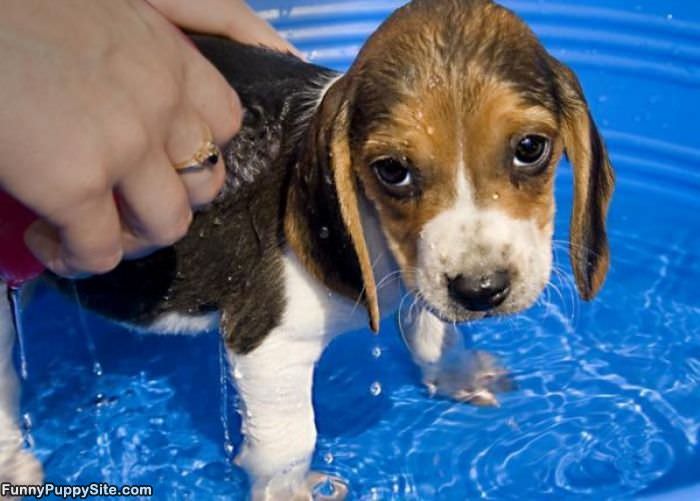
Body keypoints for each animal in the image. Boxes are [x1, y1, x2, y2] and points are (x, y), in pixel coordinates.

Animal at [0, 0, 612, 496]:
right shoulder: (270, 345)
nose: (482, 290)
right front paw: (291, 492)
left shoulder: (422, 270)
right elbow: (290, 442)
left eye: (530, 148)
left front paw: (461, 373)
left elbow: (434, 331)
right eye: (392, 171)